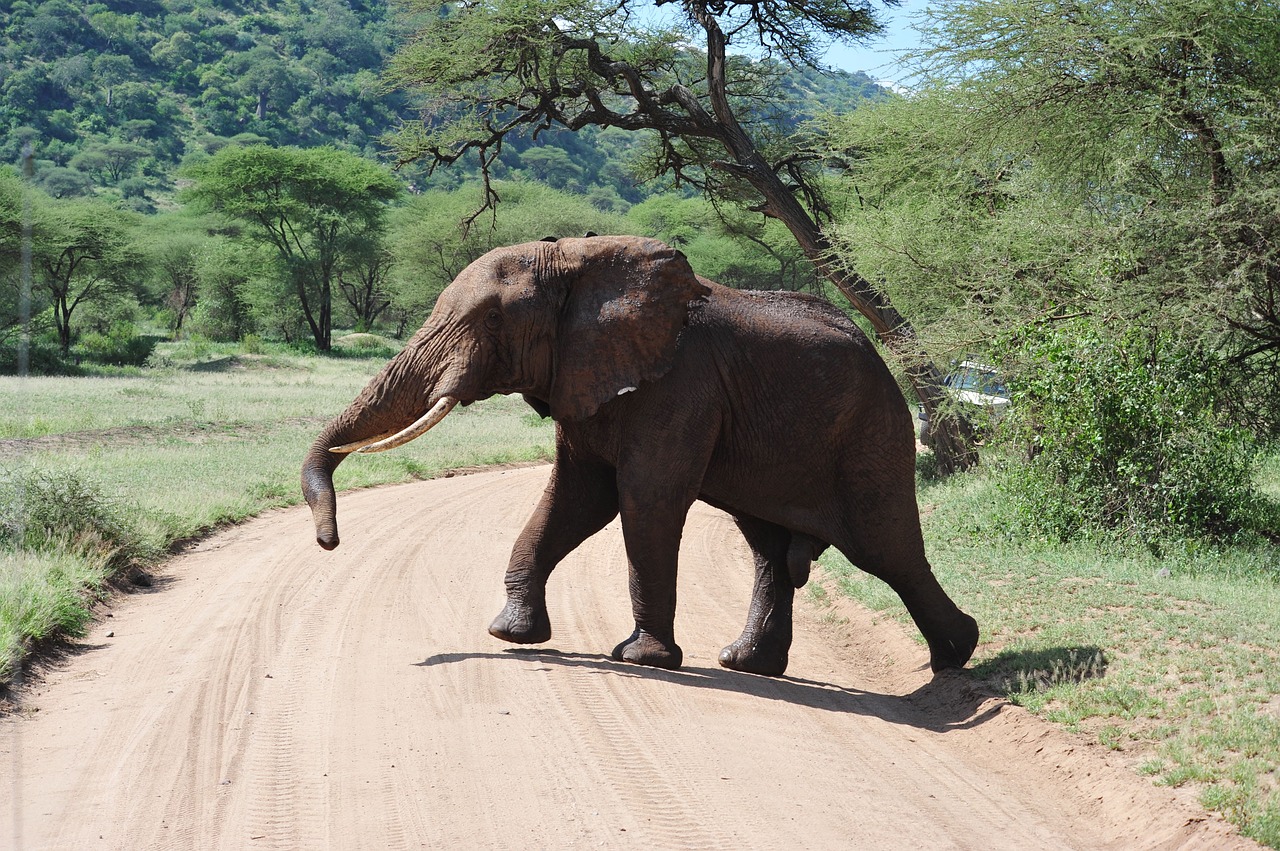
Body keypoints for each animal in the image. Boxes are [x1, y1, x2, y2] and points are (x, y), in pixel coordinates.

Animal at [302, 232, 977, 675]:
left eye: (492, 321)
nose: (328, 541)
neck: (580, 259)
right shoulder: (586, 380)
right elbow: (575, 499)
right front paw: (512, 635)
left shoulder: (681, 386)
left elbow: (644, 503)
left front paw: (643, 659)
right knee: (769, 548)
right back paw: (746, 665)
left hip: (873, 432)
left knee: (884, 549)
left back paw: (954, 657)